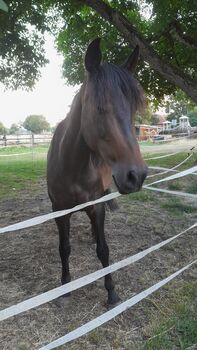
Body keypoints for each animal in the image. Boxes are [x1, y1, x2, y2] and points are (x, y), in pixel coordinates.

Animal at [47, 38, 147, 304]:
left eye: (133, 108)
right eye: (100, 108)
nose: (137, 175)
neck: (72, 165)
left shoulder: (97, 206)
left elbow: (103, 249)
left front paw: (111, 292)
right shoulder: (59, 210)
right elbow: (64, 248)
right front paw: (65, 286)